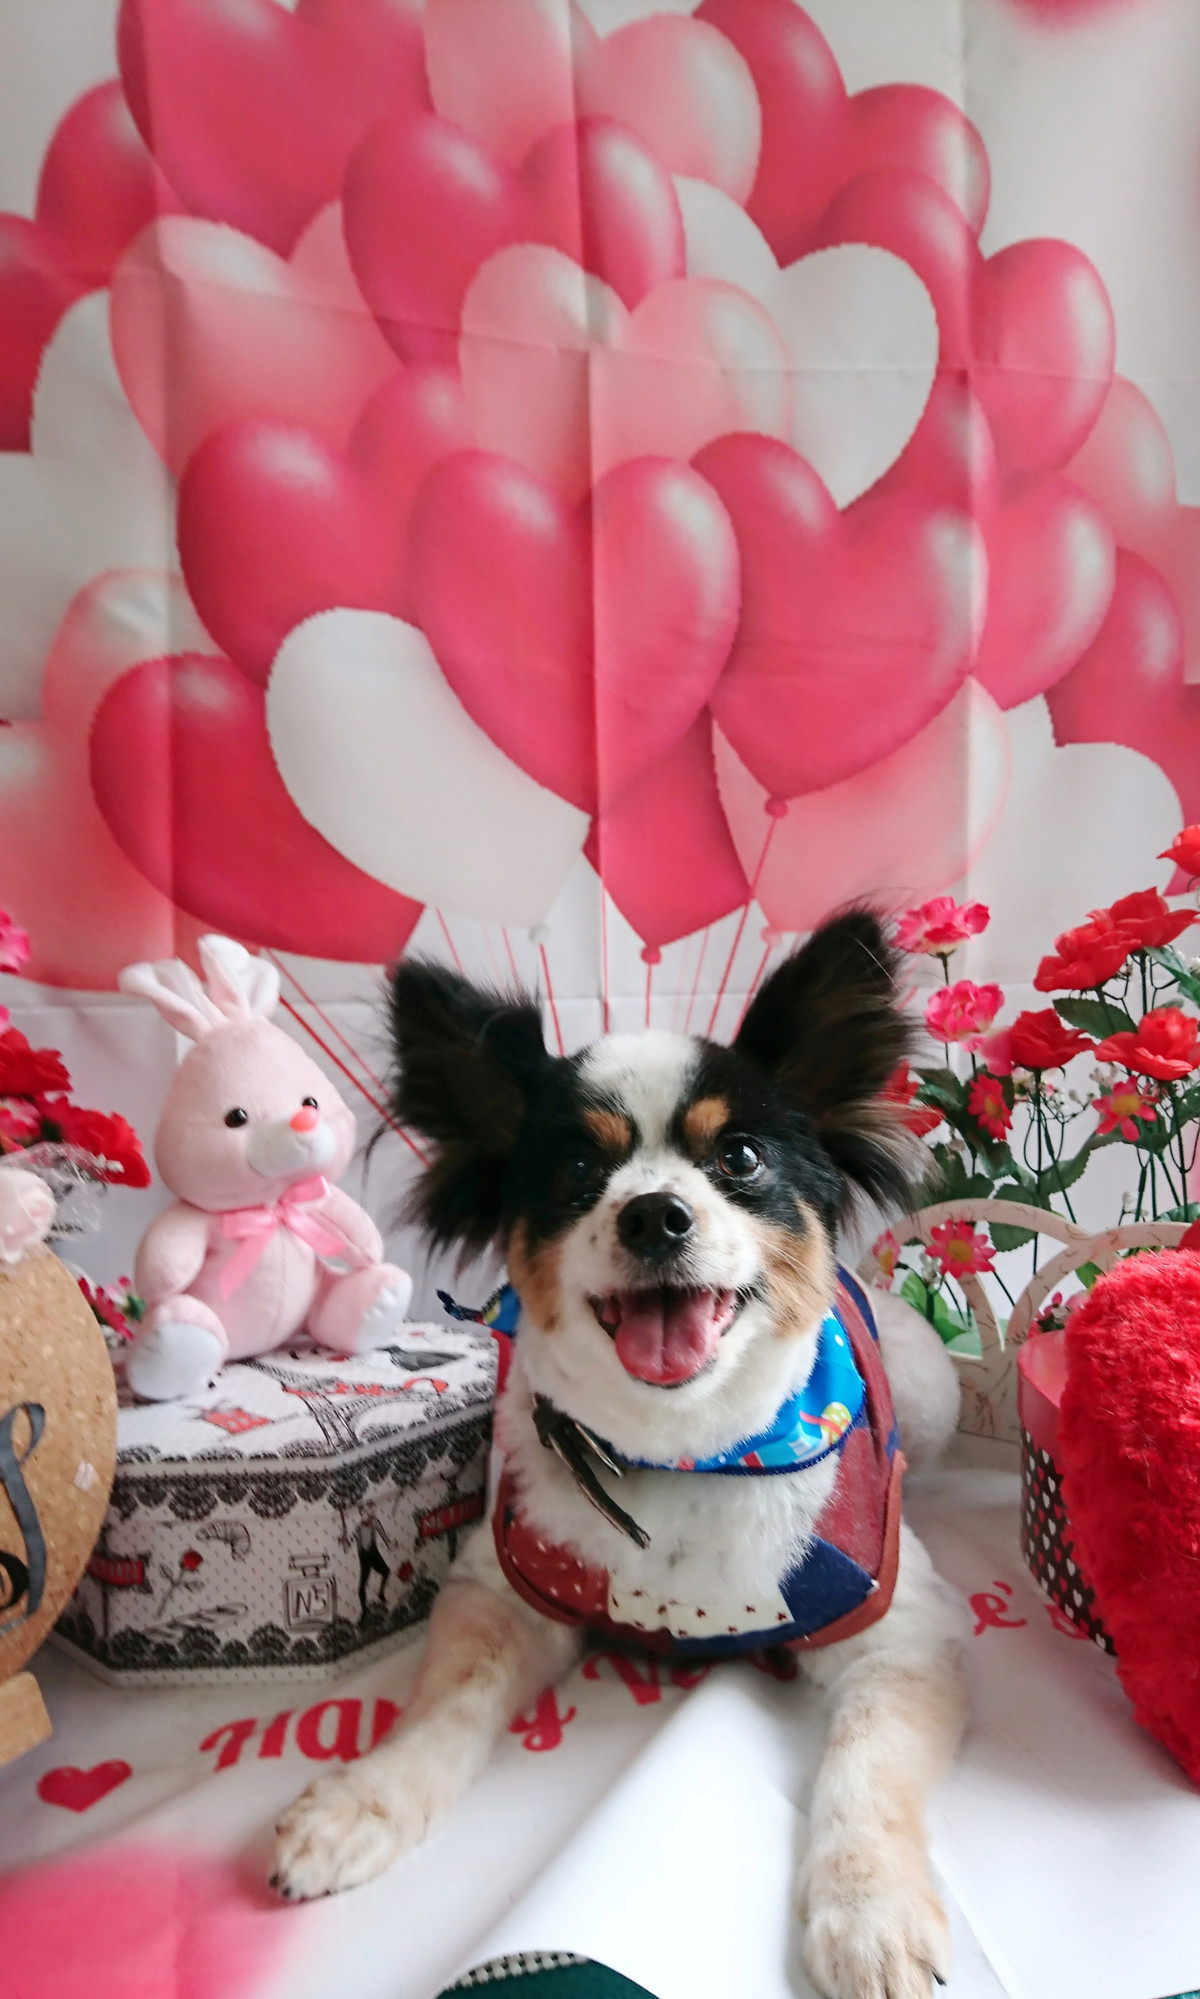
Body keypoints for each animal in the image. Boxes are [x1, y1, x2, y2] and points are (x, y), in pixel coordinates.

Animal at [272, 910, 968, 1999]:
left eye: (740, 1157)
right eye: (575, 1173)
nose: (655, 1213)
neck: (686, 1455)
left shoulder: (903, 1631)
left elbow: (866, 1764)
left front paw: (872, 1913)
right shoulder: (504, 1586)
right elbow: (444, 1709)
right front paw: (361, 1804)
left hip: (933, 1392)